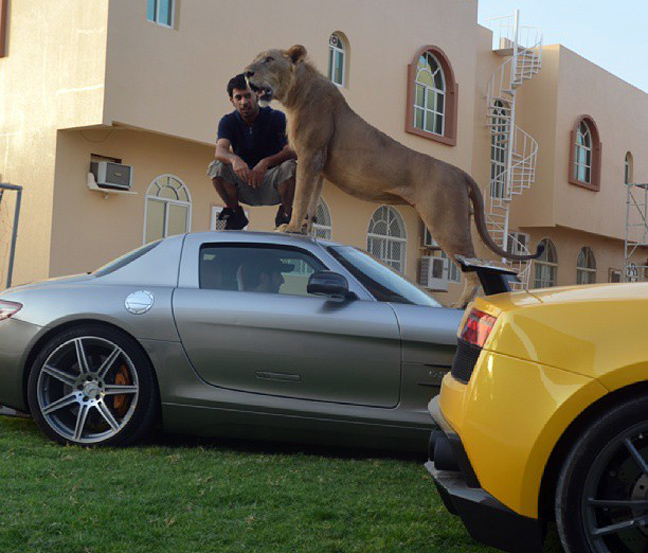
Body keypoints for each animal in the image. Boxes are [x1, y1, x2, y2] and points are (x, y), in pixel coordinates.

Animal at [245, 45, 541, 306]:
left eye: (269, 59)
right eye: (256, 57)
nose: (247, 72)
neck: (296, 93)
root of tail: (460, 171)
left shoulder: (310, 155)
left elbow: (300, 197)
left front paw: (290, 227)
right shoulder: (318, 165)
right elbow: (310, 201)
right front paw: (304, 229)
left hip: (447, 223)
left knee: (475, 268)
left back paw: (461, 305)